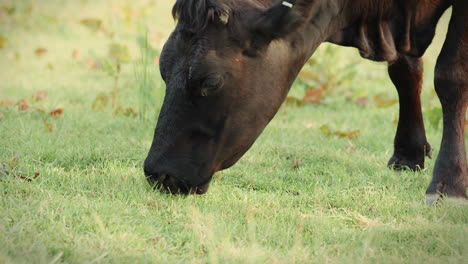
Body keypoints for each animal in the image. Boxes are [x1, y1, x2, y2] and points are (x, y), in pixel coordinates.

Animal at [144, 0, 466, 204]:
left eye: (210, 81)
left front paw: (448, 186)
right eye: (163, 68)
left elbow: (450, 74)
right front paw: (408, 154)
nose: (159, 173)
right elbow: (404, 70)